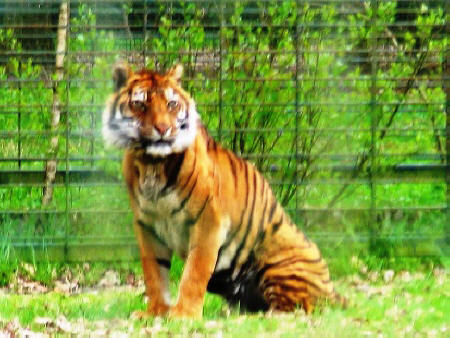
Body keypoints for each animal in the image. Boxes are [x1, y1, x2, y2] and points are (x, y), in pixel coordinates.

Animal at [102, 63, 342, 320]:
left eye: (171, 104)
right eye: (140, 104)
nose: (163, 128)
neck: (152, 163)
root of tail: (335, 291)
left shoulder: (208, 221)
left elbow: (194, 272)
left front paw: (183, 315)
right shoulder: (146, 224)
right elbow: (154, 272)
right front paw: (155, 312)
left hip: (282, 266)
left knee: (299, 307)